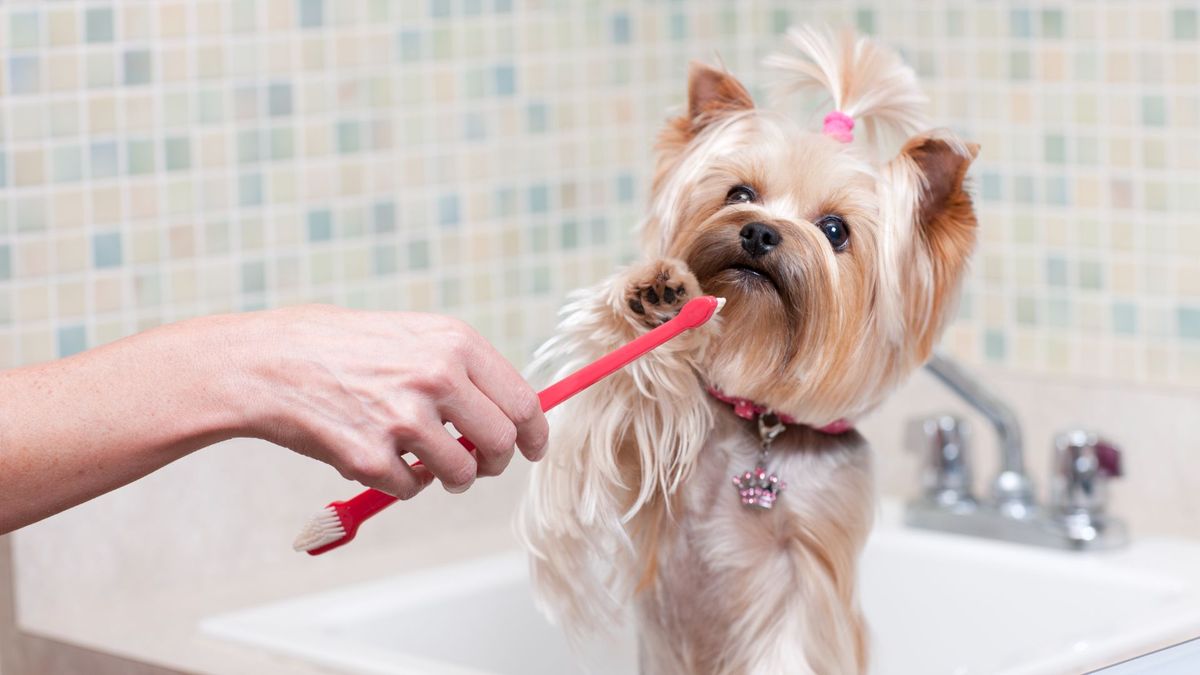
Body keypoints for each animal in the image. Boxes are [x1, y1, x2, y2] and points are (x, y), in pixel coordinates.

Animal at [520, 27, 979, 672]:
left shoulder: (809, 570)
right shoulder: (636, 461)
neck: (760, 424)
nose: (760, 231)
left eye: (835, 230)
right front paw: (653, 294)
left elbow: (792, 643)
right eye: (739, 192)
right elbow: (610, 404)